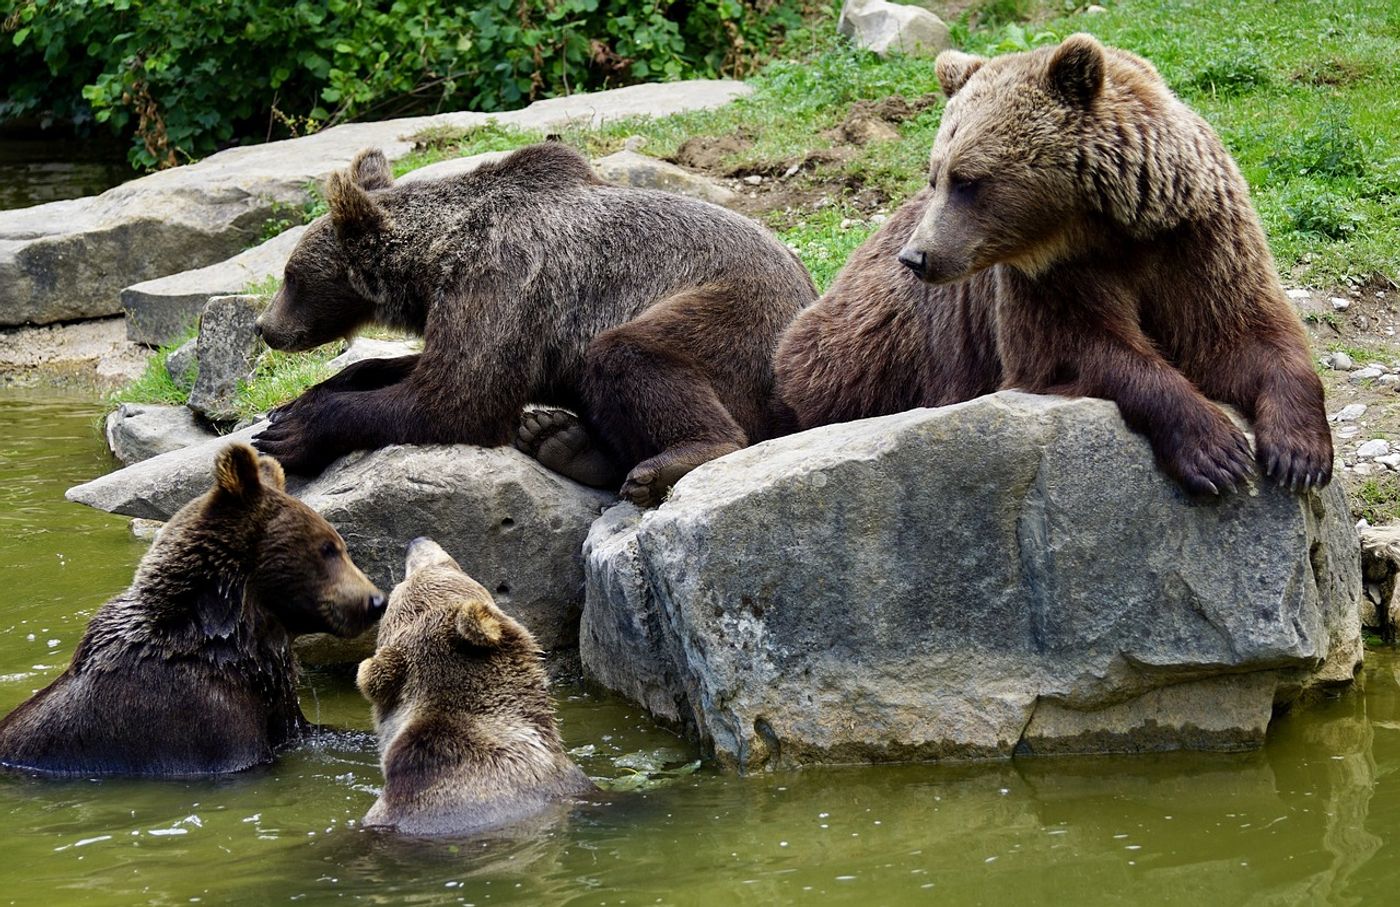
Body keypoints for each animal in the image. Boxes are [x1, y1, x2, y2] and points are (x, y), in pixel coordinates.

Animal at [0, 442, 386, 778]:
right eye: (328, 548)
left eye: (338, 545)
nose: (375, 601)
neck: (231, 644)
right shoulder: (201, 717)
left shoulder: (277, 704)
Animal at [257, 141, 817, 503]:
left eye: (290, 276)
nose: (265, 326)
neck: (434, 263)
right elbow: (423, 367)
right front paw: (299, 399)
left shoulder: (502, 278)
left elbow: (456, 398)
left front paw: (292, 432)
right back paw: (561, 440)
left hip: (735, 316)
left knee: (631, 353)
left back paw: (672, 458)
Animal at [778, 33, 1332, 495]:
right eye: (935, 176)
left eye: (967, 180)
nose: (916, 257)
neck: (1105, 228)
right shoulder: (1051, 278)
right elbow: (1081, 348)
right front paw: (1215, 452)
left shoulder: (1194, 237)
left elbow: (1241, 332)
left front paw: (1298, 454)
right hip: (874, 348)